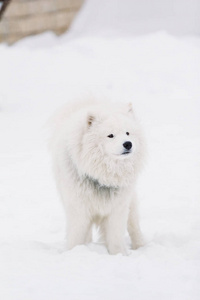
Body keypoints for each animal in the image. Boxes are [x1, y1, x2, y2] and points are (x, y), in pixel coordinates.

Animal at [48, 99, 145, 254]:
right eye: (110, 135)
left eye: (127, 133)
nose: (128, 144)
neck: (102, 176)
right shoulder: (79, 209)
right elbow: (76, 236)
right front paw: (74, 252)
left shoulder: (117, 210)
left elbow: (115, 237)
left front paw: (119, 254)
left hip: (130, 204)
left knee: (134, 225)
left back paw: (141, 246)